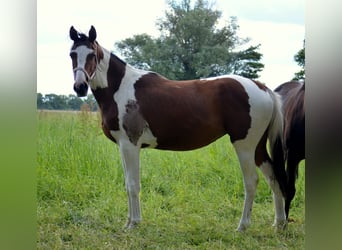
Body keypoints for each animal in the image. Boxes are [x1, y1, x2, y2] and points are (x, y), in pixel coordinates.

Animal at [68, 26, 288, 231]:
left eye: (92, 54)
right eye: (72, 54)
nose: (80, 87)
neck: (121, 89)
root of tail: (262, 87)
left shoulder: (130, 145)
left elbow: (132, 185)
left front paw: (134, 224)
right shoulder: (123, 146)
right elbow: (128, 183)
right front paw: (129, 222)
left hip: (244, 146)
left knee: (251, 182)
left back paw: (242, 226)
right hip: (257, 148)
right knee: (273, 177)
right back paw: (279, 223)